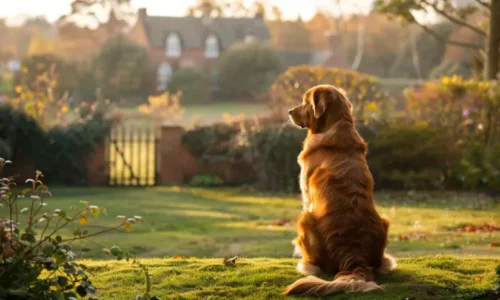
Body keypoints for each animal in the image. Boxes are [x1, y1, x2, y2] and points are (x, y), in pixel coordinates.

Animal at [284, 84, 396, 296]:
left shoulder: (306, 195)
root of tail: (355, 259)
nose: (290, 111)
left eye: (304, 101)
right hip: (385, 222)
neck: (337, 125)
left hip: (305, 219)